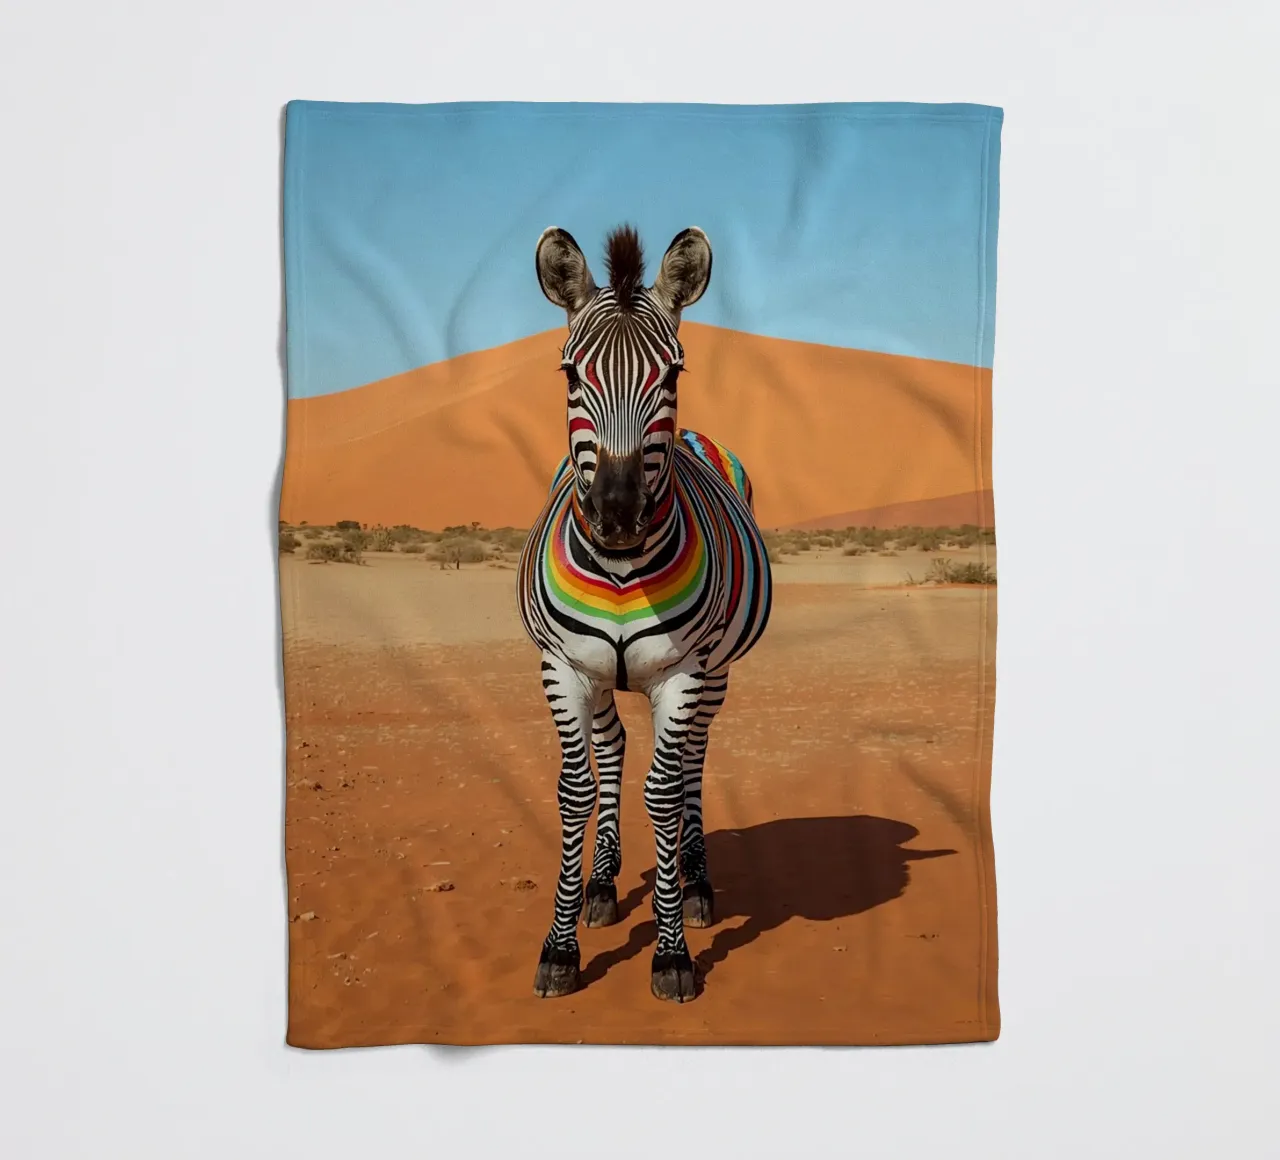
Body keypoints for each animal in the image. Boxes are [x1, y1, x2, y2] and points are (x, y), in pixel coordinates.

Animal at [517, 224, 772, 1002]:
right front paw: (561, 946)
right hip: (601, 678)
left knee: (689, 761)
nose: (618, 516)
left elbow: (662, 793)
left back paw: (695, 882)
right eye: (570, 375)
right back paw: (601, 883)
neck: (623, 571)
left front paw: (671, 951)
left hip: (716, 675)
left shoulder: (681, 673)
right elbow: (576, 790)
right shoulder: (562, 667)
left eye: (673, 378)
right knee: (612, 749)